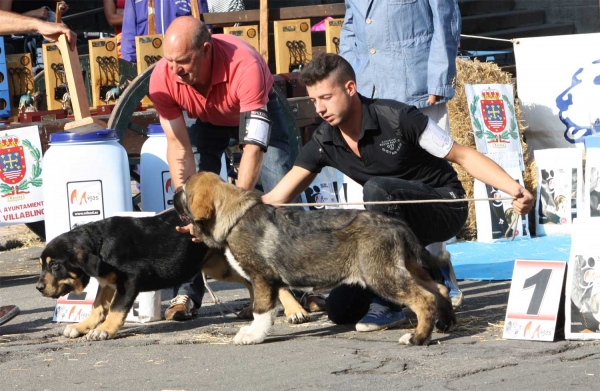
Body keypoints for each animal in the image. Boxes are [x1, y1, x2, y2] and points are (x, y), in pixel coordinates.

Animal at [35, 210, 310, 342]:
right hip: (219, 265)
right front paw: (82, 327)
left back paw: (295, 310)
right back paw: (251, 310)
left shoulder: (128, 281)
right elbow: (97, 308)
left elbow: (115, 310)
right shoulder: (107, 283)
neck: (100, 244)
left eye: (55, 266)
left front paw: (104, 331)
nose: (38, 288)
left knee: (272, 282)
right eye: (42, 265)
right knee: (252, 282)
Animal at [176, 172, 458, 346]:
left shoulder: (262, 279)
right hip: (405, 267)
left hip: (381, 275)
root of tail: (395, 224)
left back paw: (417, 338)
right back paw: (446, 324)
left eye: (184, 191)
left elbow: (261, 310)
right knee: (439, 289)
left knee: (424, 299)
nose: (173, 194)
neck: (235, 217)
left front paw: (253, 335)